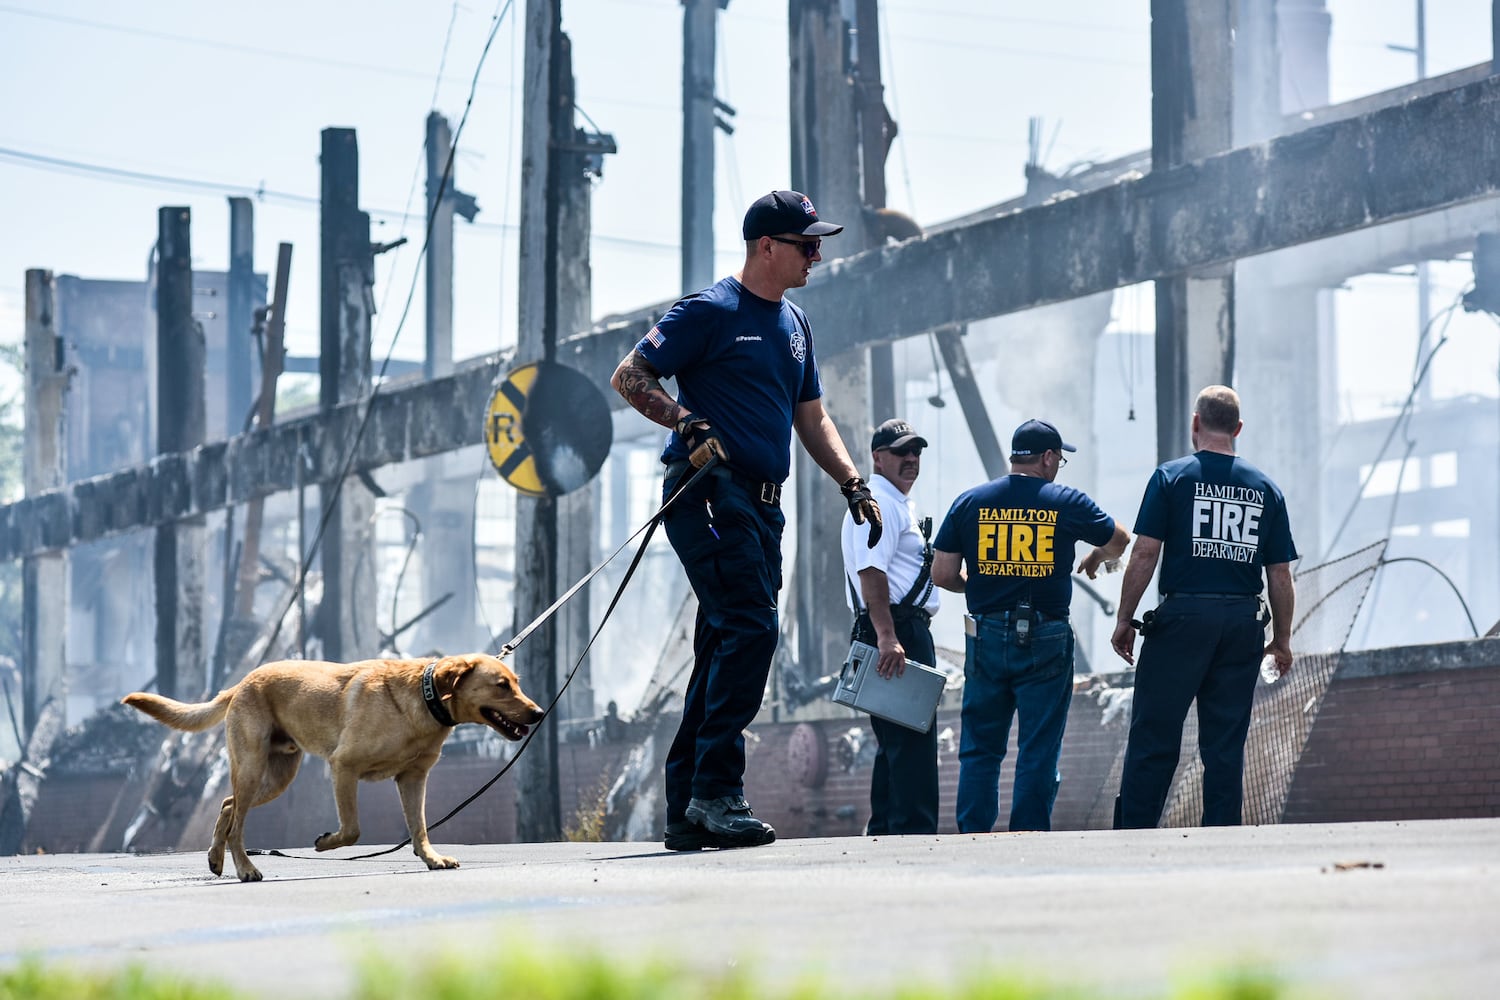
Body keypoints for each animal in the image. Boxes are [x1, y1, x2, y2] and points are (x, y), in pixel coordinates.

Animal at [123, 656, 543, 881]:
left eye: (517, 682)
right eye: (501, 685)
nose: (539, 713)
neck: (424, 699)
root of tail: (244, 681)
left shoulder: (412, 779)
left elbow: (419, 827)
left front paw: (431, 858)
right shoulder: (344, 767)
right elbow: (353, 830)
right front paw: (325, 843)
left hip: (276, 776)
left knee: (228, 805)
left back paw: (216, 858)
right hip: (254, 768)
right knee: (237, 822)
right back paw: (244, 868)